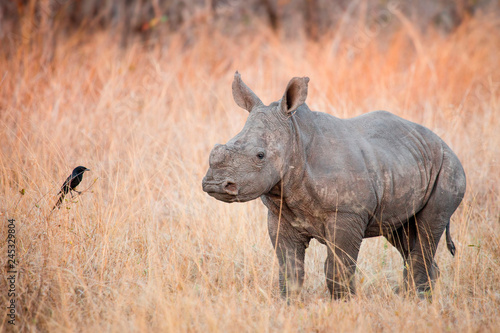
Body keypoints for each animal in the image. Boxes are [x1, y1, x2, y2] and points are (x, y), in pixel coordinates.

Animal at [201, 70, 466, 298]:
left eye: (260, 156)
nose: (215, 184)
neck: (295, 139)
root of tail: (443, 142)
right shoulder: (280, 215)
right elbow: (290, 269)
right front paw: (290, 305)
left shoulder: (348, 213)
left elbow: (338, 268)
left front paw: (344, 305)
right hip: (407, 161)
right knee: (403, 235)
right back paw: (419, 299)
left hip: (449, 168)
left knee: (426, 231)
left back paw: (417, 300)